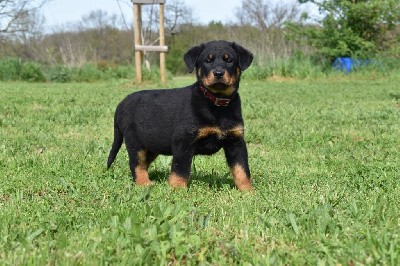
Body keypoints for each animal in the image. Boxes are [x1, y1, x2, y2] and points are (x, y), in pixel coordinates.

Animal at [107, 40, 253, 191]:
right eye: (207, 60)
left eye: (229, 60)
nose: (218, 73)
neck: (217, 103)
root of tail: (121, 104)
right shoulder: (183, 140)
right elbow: (180, 168)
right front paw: (177, 189)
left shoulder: (236, 142)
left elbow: (242, 169)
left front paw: (248, 191)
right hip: (135, 142)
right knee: (136, 164)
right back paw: (144, 183)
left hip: (152, 143)